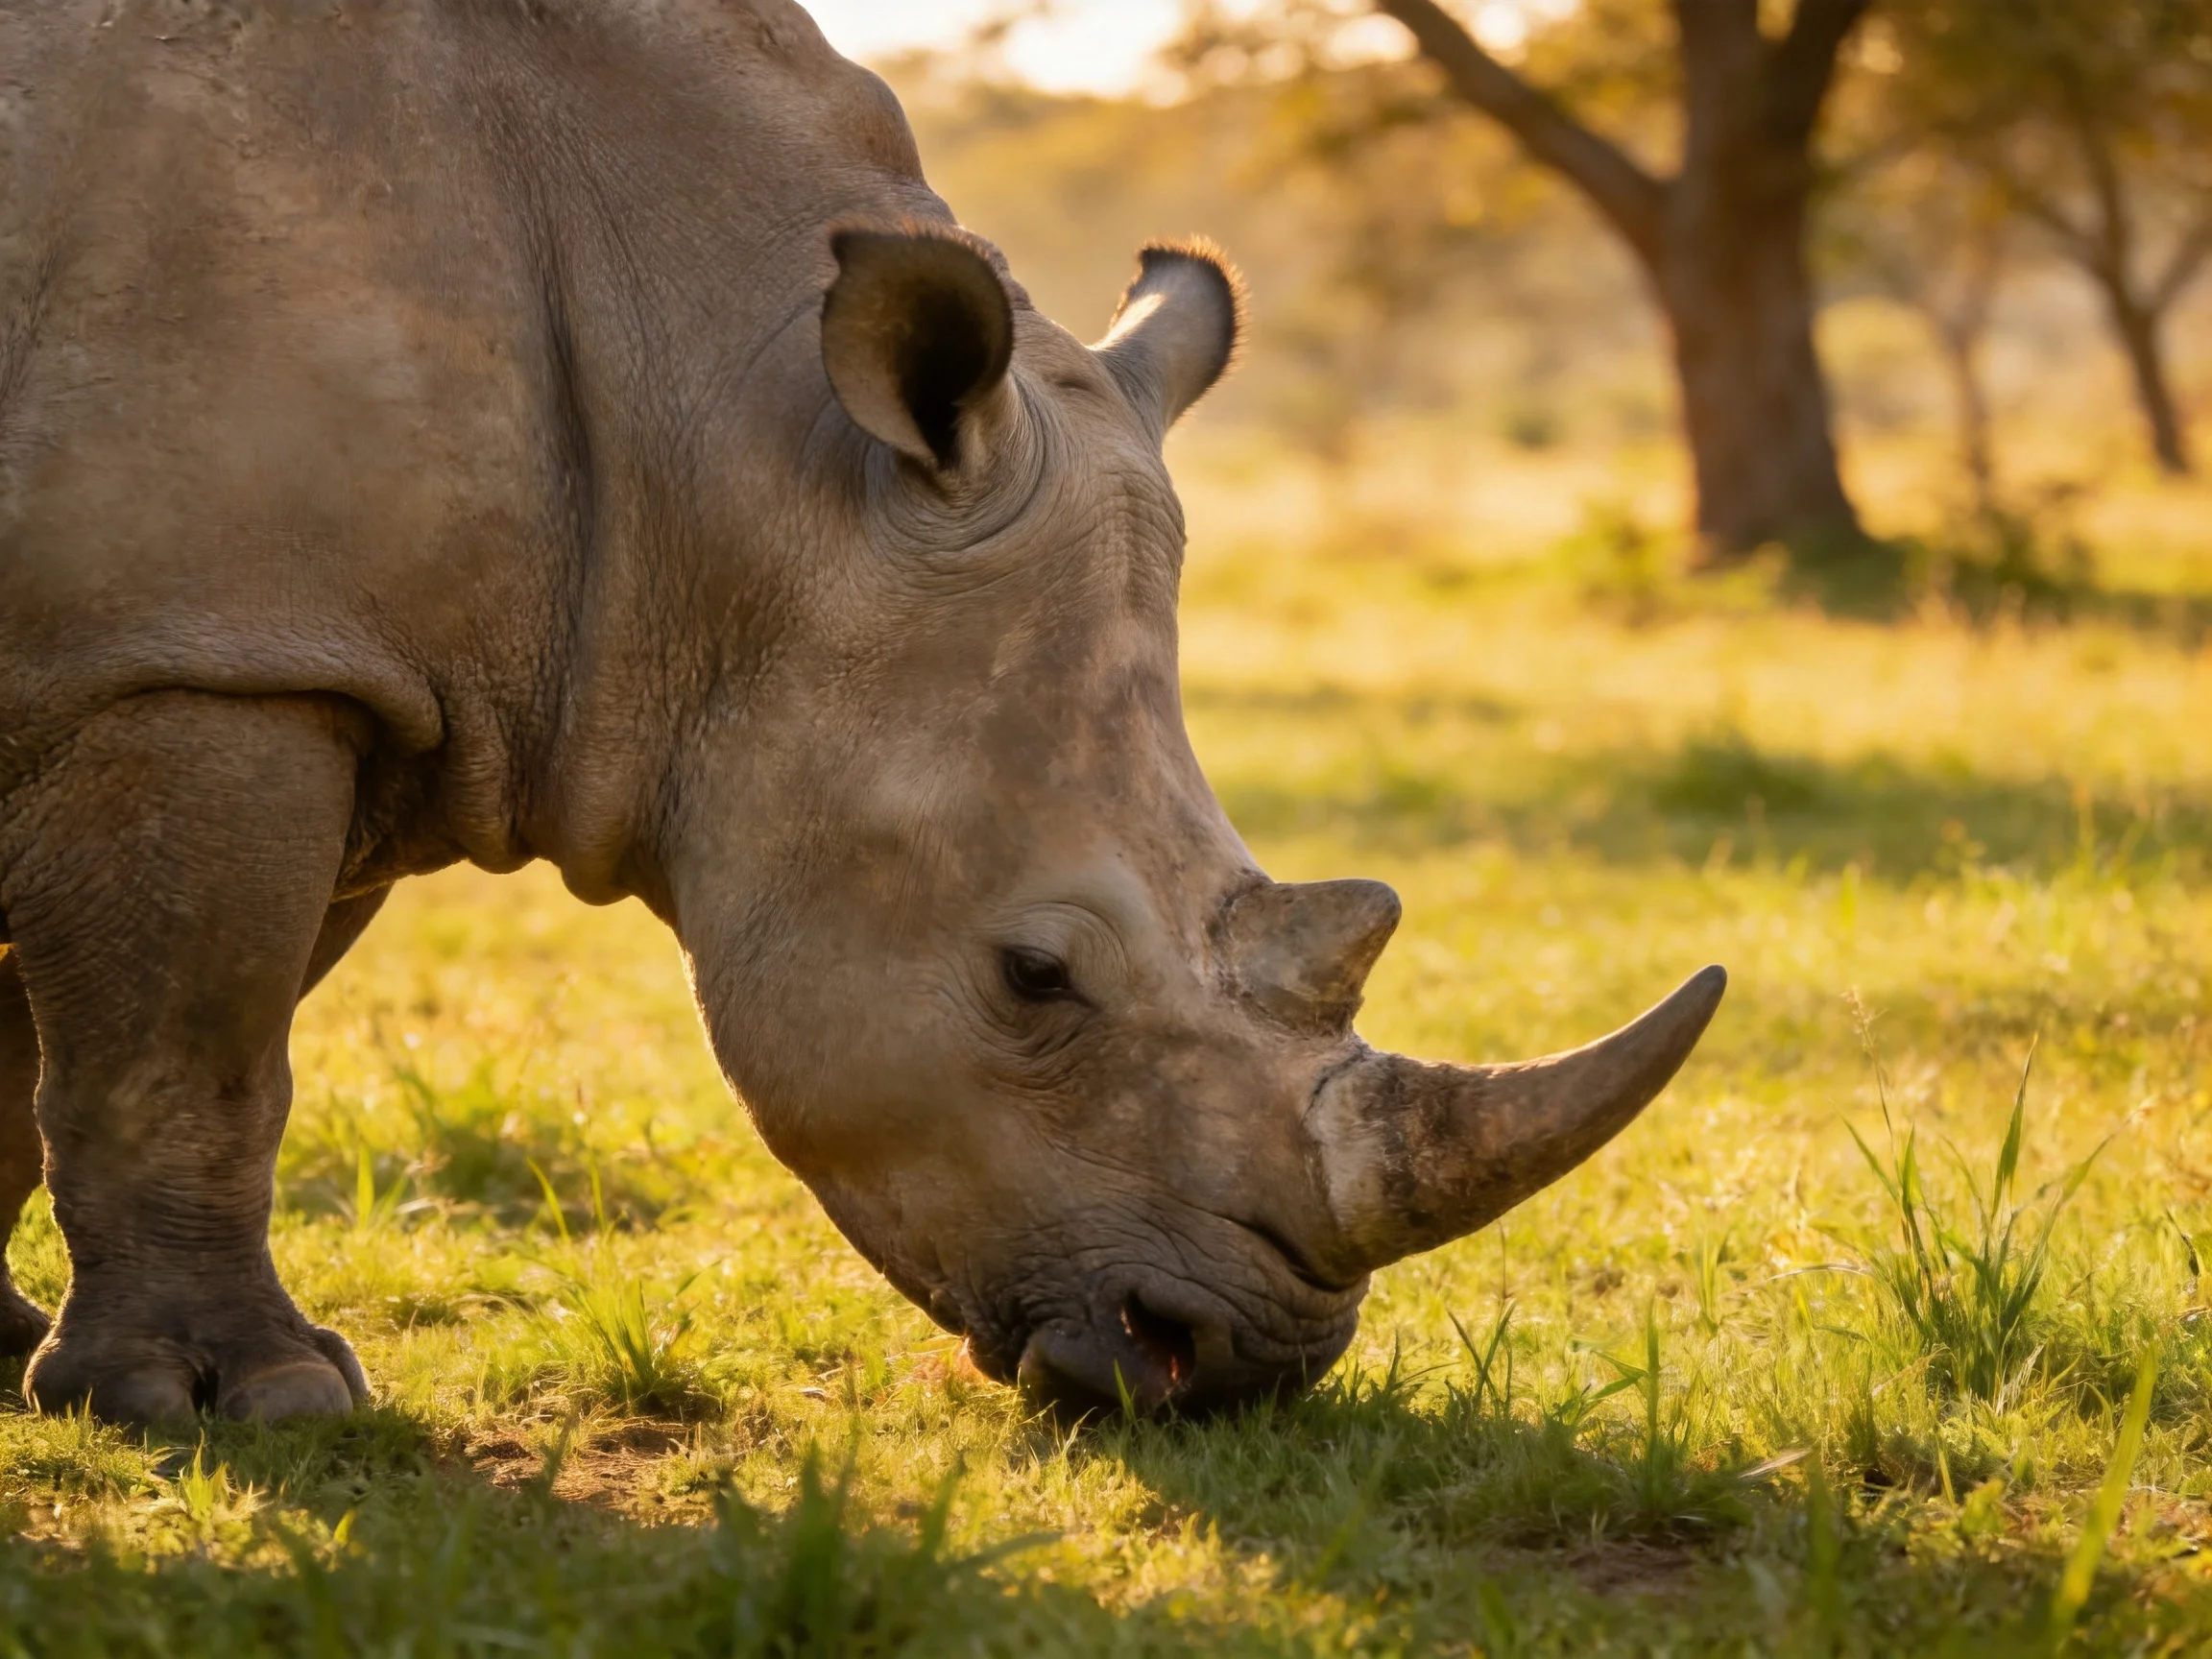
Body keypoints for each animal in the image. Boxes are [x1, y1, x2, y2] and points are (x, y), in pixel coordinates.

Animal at [0, 0, 1724, 1423]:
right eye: (1034, 976)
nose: (1238, 1361)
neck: (727, 442)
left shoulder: (338, 668)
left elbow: (80, 1044)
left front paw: (23, 1355)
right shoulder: (213, 654)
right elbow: (196, 1047)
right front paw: (244, 1402)